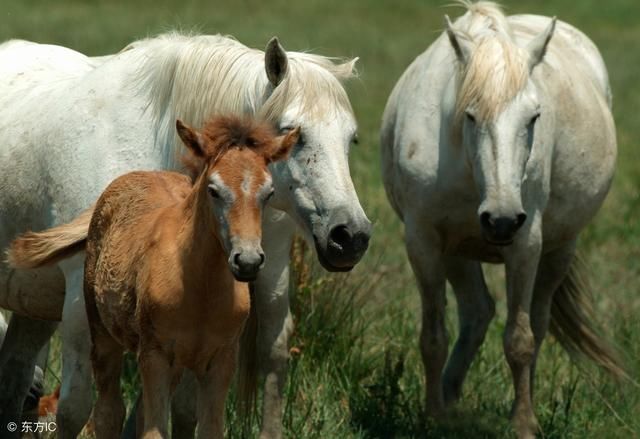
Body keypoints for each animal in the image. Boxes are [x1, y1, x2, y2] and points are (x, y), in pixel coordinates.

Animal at [0, 33, 370, 439]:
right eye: (294, 133)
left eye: (351, 139)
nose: (350, 236)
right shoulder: (84, 310)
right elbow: (76, 409)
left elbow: (184, 407)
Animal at [382, 1, 624, 438]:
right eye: (471, 116)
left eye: (534, 117)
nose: (502, 220)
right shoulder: (423, 242)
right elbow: (432, 336)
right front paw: (433, 417)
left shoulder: (526, 245)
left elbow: (520, 340)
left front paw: (523, 423)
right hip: (457, 252)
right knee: (477, 313)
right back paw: (449, 396)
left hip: (560, 249)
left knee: (537, 324)